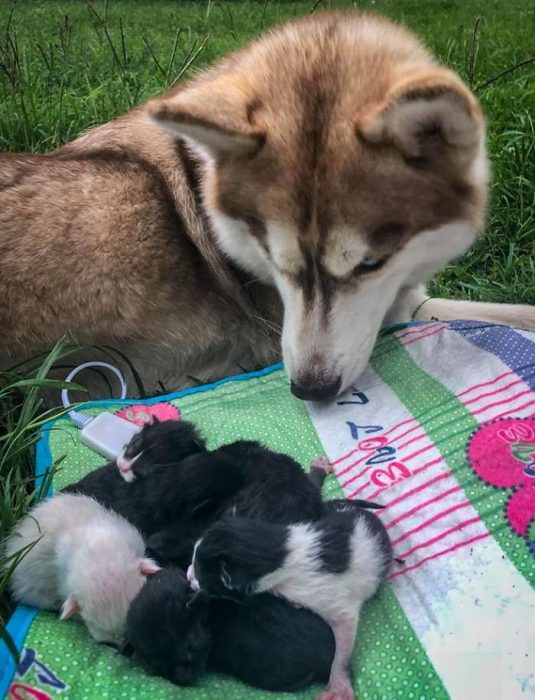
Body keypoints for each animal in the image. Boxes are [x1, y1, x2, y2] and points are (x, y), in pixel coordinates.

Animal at [2, 12, 532, 400]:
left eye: (371, 264)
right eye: (277, 262)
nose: (310, 390)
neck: (200, 180)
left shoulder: (406, 297)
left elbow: (516, 310)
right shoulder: (389, 316)